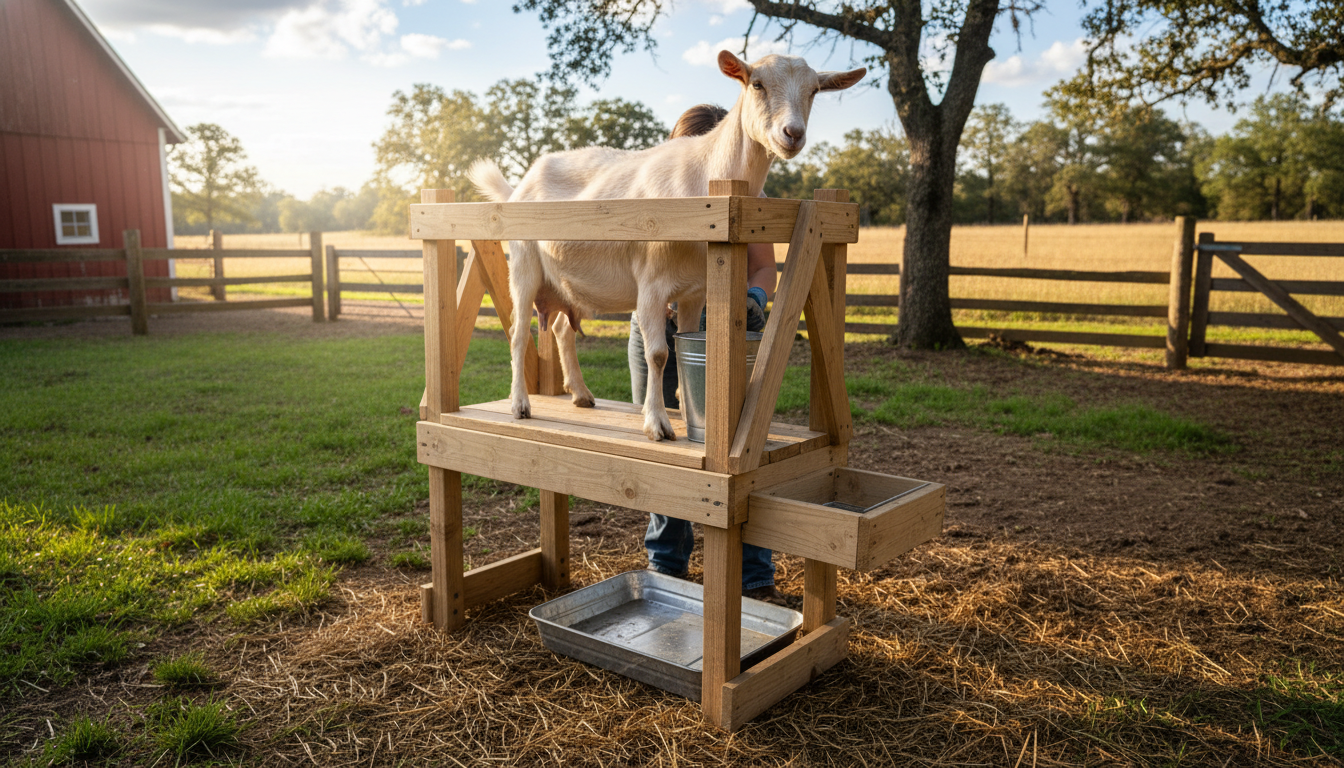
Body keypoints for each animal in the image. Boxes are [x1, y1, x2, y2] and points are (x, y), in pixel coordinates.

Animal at [469, 51, 864, 441]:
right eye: (757, 84)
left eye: (814, 90)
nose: (792, 134)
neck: (703, 182)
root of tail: (520, 185)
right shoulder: (651, 286)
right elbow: (658, 354)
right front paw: (657, 423)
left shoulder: (695, 291)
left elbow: (682, 341)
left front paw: (688, 412)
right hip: (524, 265)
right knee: (518, 333)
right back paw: (520, 404)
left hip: (574, 285)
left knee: (562, 330)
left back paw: (581, 394)